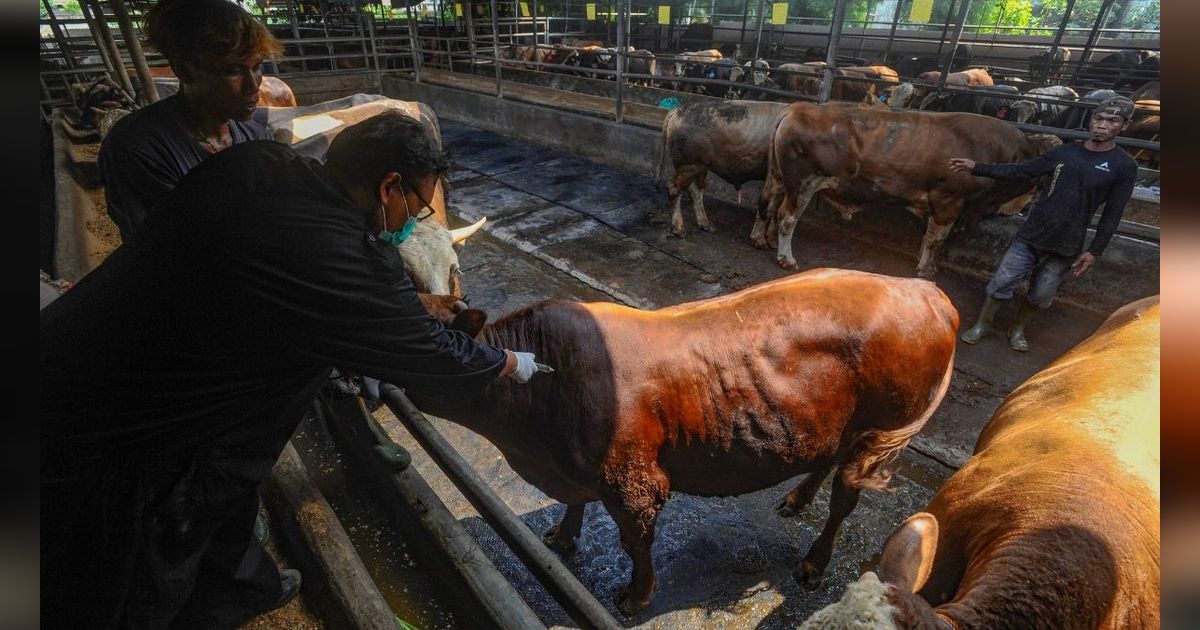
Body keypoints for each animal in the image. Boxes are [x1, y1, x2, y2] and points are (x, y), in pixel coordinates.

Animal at [415, 268, 955, 614]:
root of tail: (924, 290)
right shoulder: (580, 471)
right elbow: (575, 505)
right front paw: (562, 537)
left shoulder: (633, 481)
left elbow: (635, 541)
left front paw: (636, 596)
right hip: (829, 421)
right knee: (823, 459)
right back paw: (796, 499)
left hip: (878, 431)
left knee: (844, 499)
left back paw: (812, 564)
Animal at [758, 103, 1060, 274]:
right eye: (1041, 179)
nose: (1026, 207)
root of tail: (794, 109)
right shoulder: (948, 201)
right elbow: (936, 239)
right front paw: (926, 269)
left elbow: (929, 237)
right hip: (802, 184)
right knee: (787, 217)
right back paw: (786, 258)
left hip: (779, 178)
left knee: (769, 204)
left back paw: (763, 240)